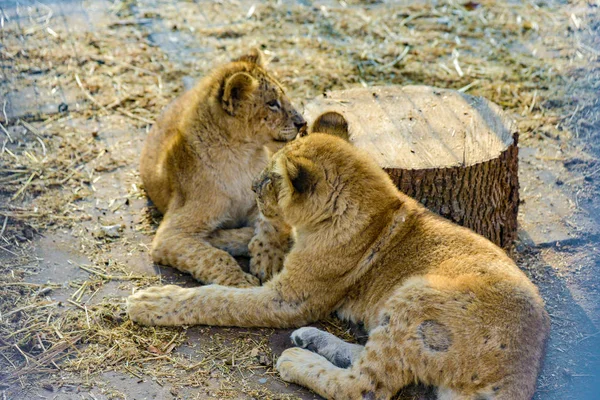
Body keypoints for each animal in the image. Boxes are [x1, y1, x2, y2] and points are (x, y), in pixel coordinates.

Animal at [129, 130, 552, 396]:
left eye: (269, 179)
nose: (251, 187)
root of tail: (520, 366)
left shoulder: (289, 300)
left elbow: (219, 299)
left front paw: (153, 302)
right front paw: (220, 237)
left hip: (416, 294)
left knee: (364, 387)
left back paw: (297, 359)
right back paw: (311, 339)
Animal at [140, 48, 304, 288]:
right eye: (272, 103)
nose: (302, 122)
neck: (241, 156)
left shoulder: (262, 198)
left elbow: (274, 221)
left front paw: (268, 258)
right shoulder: (171, 233)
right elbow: (214, 257)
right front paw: (243, 283)